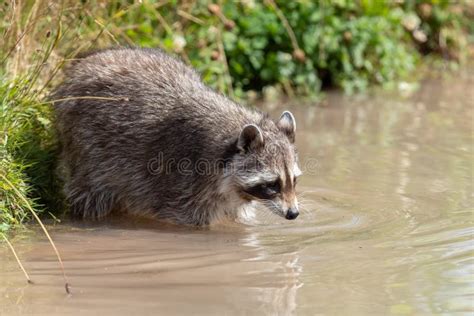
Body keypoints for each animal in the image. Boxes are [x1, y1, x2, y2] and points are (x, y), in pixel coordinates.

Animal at [52, 47, 304, 226]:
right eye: (272, 184)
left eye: (294, 180)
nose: (293, 213)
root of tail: (82, 65)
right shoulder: (182, 179)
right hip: (86, 145)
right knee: (90, 194)